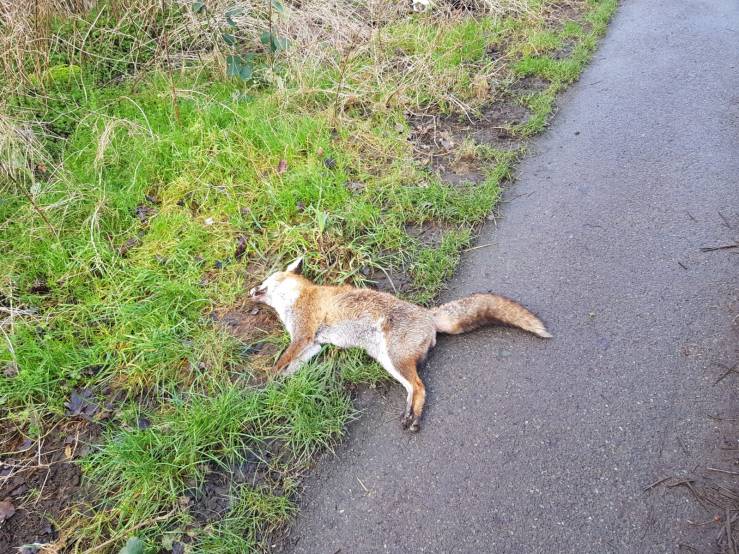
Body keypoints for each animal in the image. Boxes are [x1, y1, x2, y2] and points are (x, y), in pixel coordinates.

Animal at [249, 257, 551, 432]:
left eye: (265, 280)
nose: (250, 289)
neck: (299, 295)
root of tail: (428, 314)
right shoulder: (313, 345)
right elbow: (289, 368)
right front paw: (277, 387)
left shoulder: (303, 335)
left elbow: (278, 364)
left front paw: (265, 388)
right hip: (387, 361)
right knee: (412, 387)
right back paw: (409, 414)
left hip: (394, 358)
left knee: (419, 386)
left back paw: (414, 418)